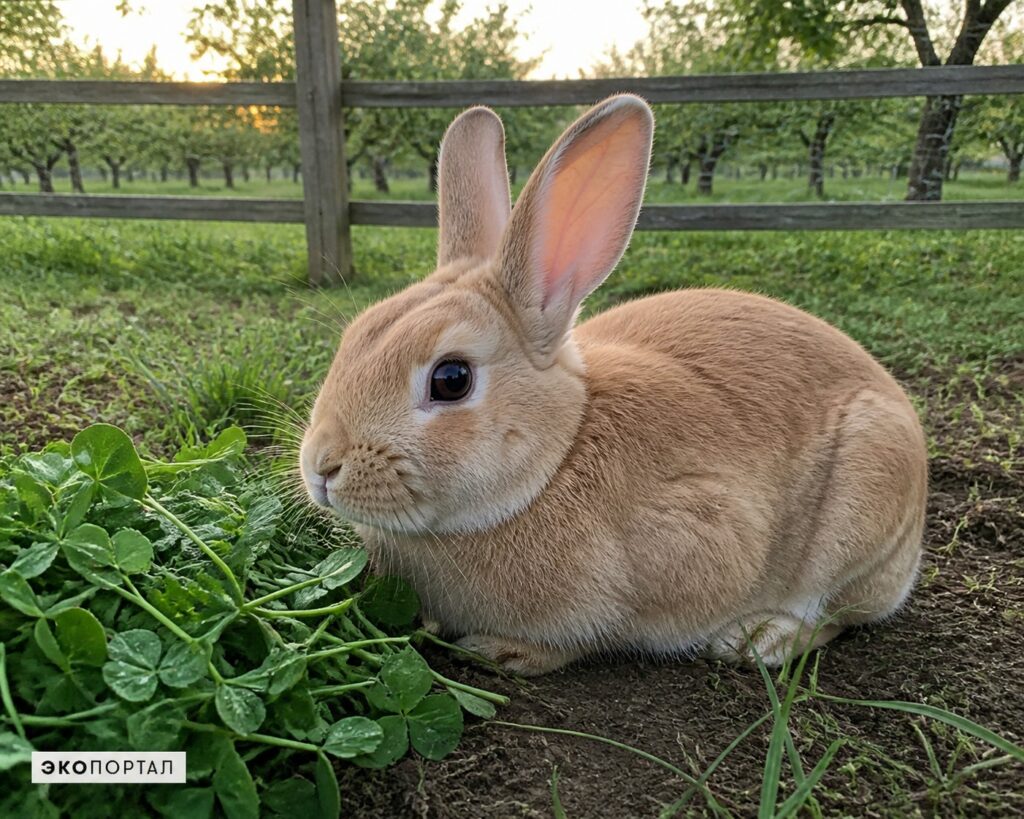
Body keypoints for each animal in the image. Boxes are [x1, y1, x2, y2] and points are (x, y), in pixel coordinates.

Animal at [300, 95, 927, 676]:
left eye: (451, 379)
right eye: (354, 337)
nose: (321, 466)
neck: (556, 459)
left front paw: (505, 652)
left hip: (864, 503)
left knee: (839, 613)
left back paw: (761, 640)